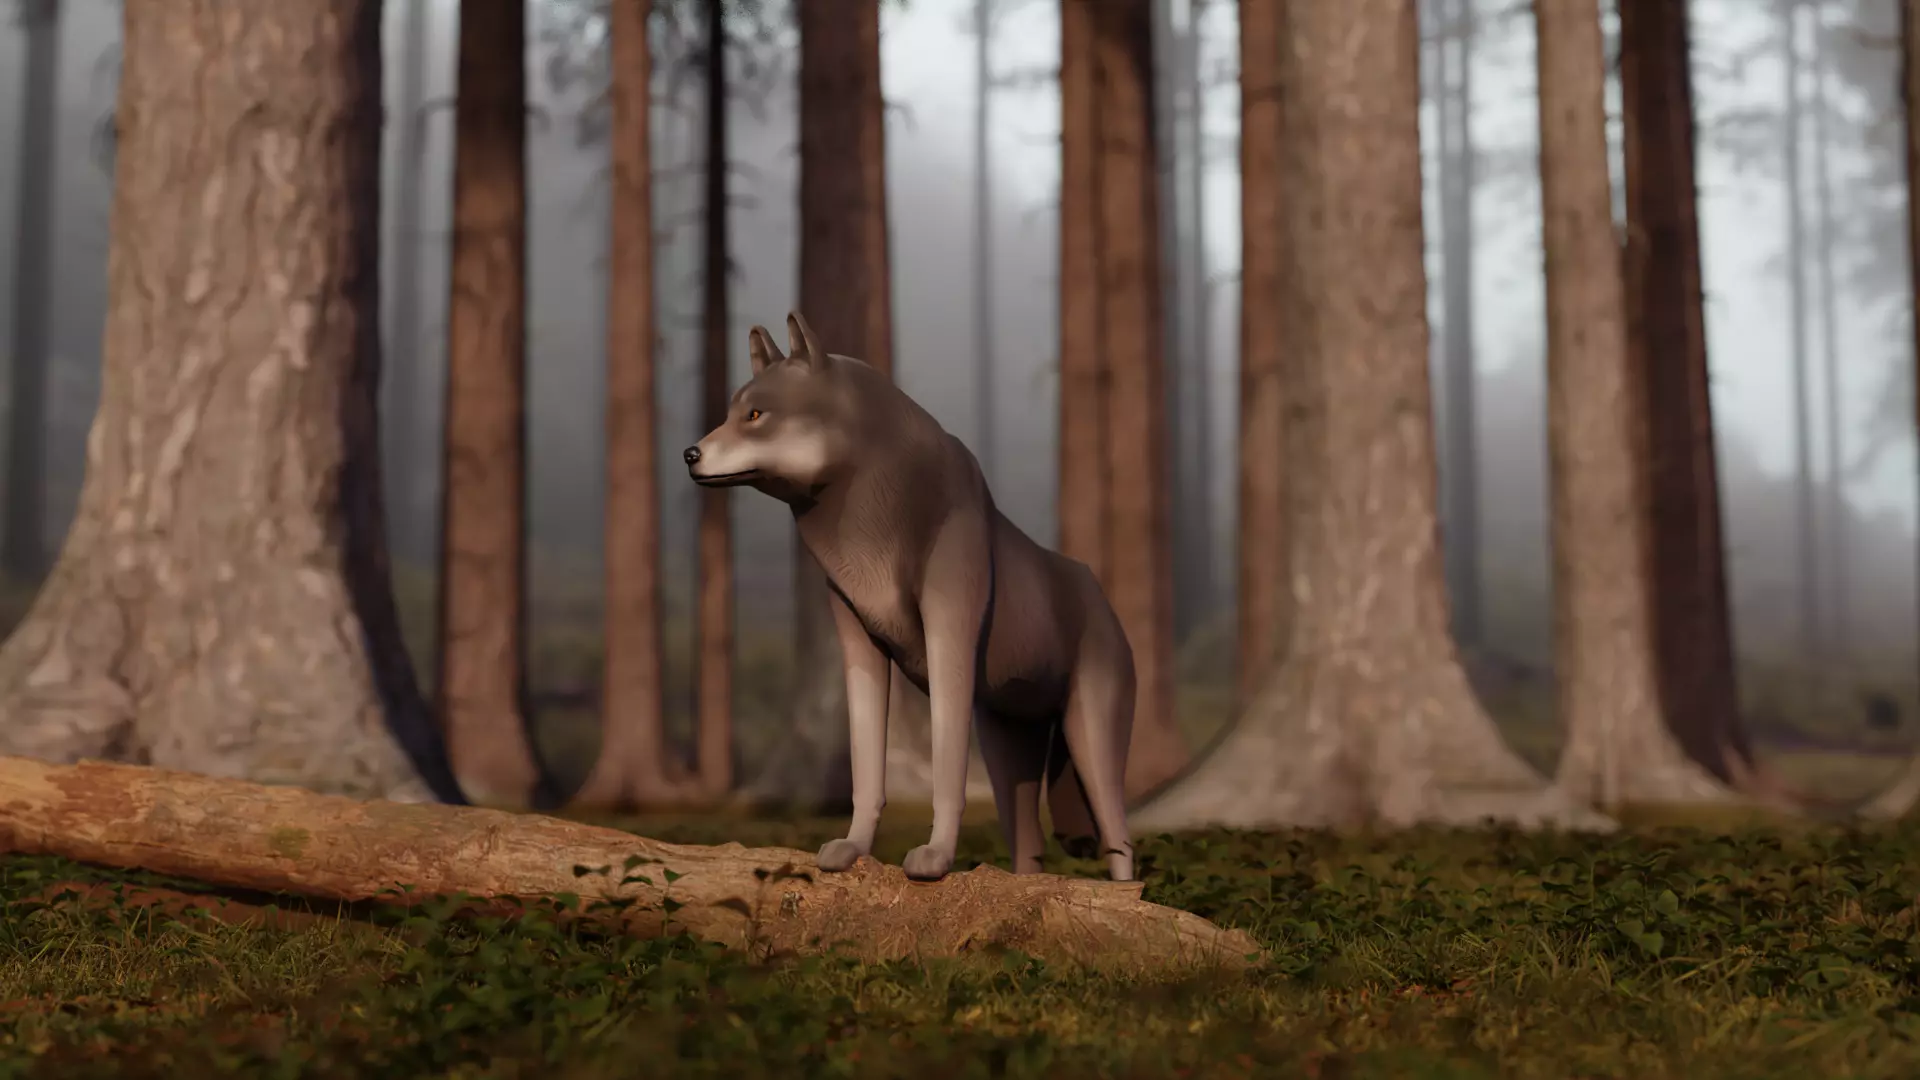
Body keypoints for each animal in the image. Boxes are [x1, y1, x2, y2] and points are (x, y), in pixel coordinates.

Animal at [685, 312, 1136, 883]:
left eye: (756, 415)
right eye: (729, 413)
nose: (689, 454)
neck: (869, 514)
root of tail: (1102, 596)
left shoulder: (949, 639)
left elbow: (945, 770)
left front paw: (935, 858)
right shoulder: (858, 643)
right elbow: (865, 771)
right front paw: (852, 848)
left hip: (1090, 740)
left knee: (1119, 837)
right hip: (1009, 750)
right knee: (1029, 846)